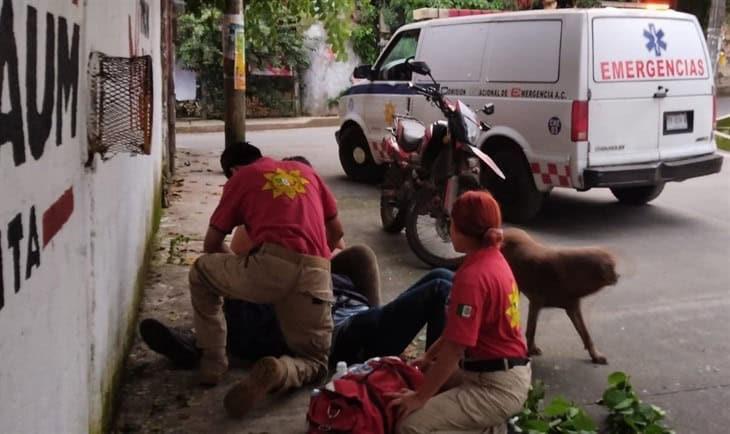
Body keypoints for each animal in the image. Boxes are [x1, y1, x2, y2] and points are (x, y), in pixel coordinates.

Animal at [500, 229, 616, 364]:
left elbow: (586, 334)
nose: (618, 276)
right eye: (612, 267)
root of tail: (505, 231)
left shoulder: (573, 309)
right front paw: (530, 350)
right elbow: (531, 330)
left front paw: (595, 355)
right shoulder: (535, 304)